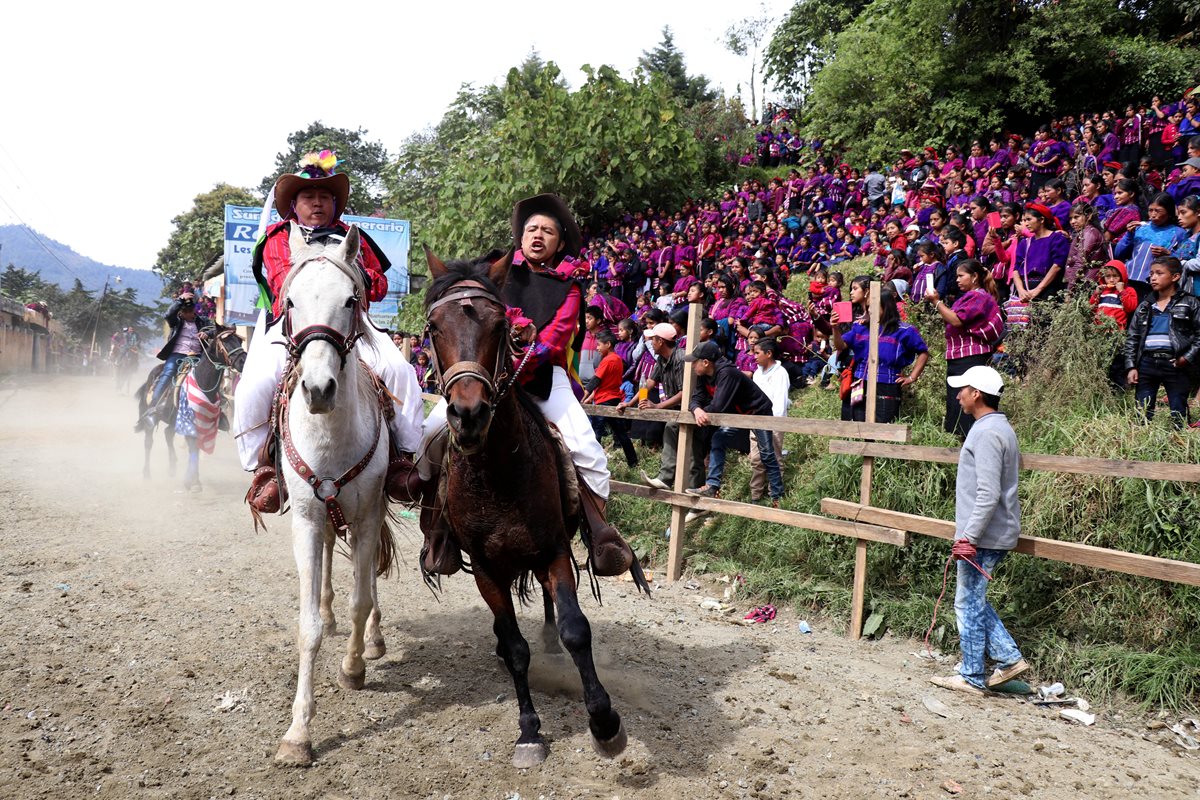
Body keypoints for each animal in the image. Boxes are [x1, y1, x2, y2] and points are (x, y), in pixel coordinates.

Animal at [134, 323, 246, 489]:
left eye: (239, 340)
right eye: (224, 341)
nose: (243, 361)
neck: (202, 383)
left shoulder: (204, 423)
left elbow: (197, 448)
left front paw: (194, 480)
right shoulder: (190, 423)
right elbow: (193, 447)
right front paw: (193, 482)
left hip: (173, 420)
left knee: (168, 434)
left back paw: (172, 467)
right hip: (152, 417)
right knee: (149, 440)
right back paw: (147, 473)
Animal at [422, 250, 628, 767]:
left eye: (501, 325)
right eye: (434, 326)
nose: (468, 415)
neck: (498, 473)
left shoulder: (553, 552)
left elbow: (576, 629)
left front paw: (604, 721)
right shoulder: (486, 569)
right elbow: (515, 647)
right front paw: (529, 731)